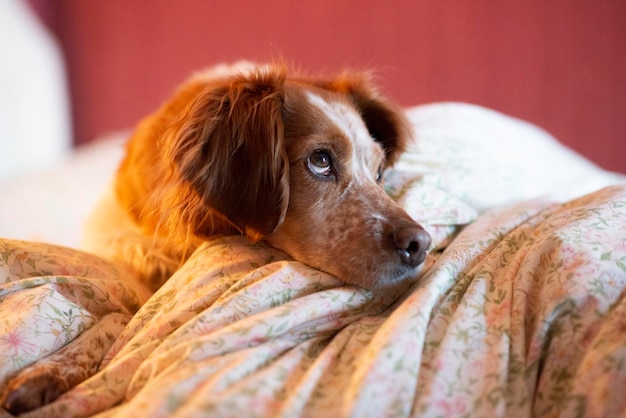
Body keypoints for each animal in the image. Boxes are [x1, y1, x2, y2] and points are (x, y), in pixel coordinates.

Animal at [0, 63, 428, 414]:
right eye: (320, 160)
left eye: (378, 173)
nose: (420, 245)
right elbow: (121, 311)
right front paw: (49, 372)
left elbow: (133, 320)